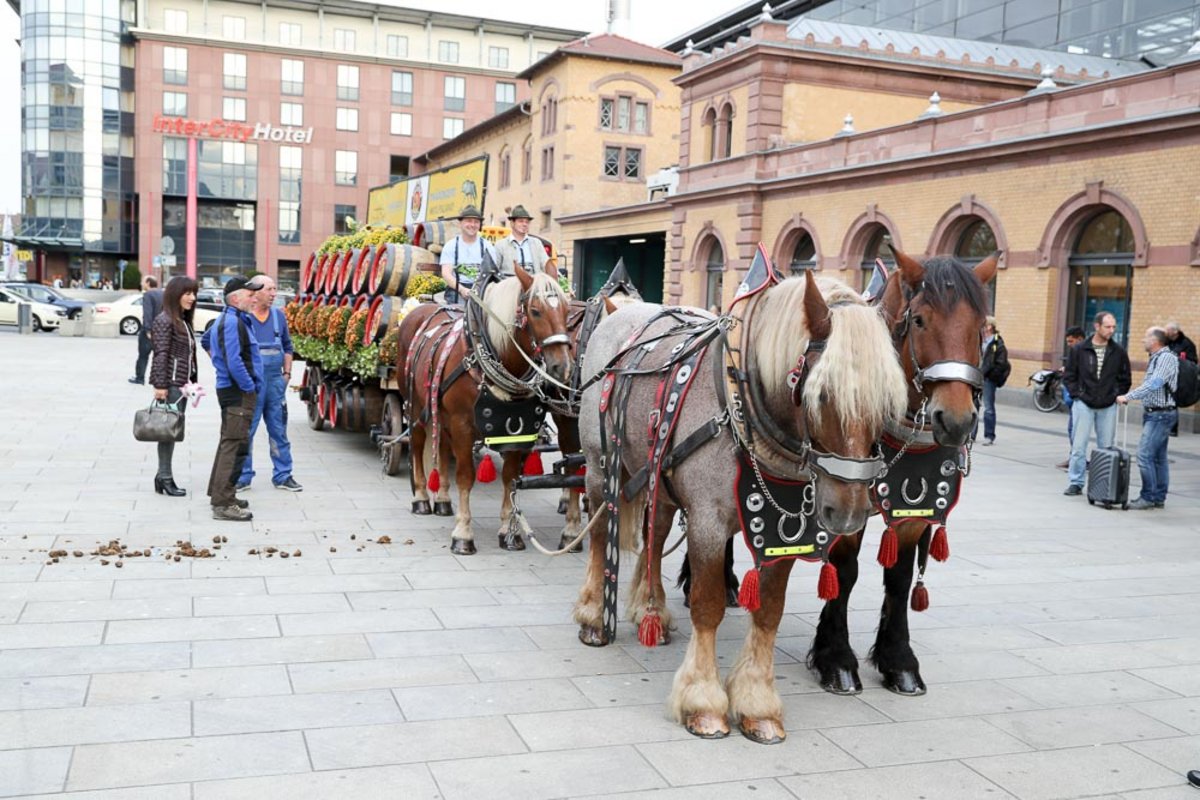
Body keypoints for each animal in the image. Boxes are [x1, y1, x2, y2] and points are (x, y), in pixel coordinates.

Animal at [394, 266, 573, 555]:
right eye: (535, 311)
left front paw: (509, 532)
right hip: (416, 407)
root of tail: (420, 310)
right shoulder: (463, 425)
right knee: (419, 443)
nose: (562, 367)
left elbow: (510, 478)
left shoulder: (517, 429)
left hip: (440, 412)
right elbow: (466, 476)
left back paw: (442, 500)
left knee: (441, 447)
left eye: (568, 310)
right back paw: (421, 498)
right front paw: (463, 534)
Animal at [573, 266, 908, 743]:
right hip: (602, 468)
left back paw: (651, 609)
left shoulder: (785, 534)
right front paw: (702, 699)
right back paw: (594, 615)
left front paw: (757, 703)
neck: (741, 404)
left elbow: (768, 611)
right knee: (602, 534)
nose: (847, 513)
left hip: (660, 477)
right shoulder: (708, 523)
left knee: (655, 535)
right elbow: (708, 604)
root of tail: (623, 312)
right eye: (821, 395)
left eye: (888, 401)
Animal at [808, 250, 998, 696]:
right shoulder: (848, 499)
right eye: (920, 321)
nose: (958, 421)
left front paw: (898, 660)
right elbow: (846, 571)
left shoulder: (916, 506)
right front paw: (835, 658)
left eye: (980, 326)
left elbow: (899, 575)